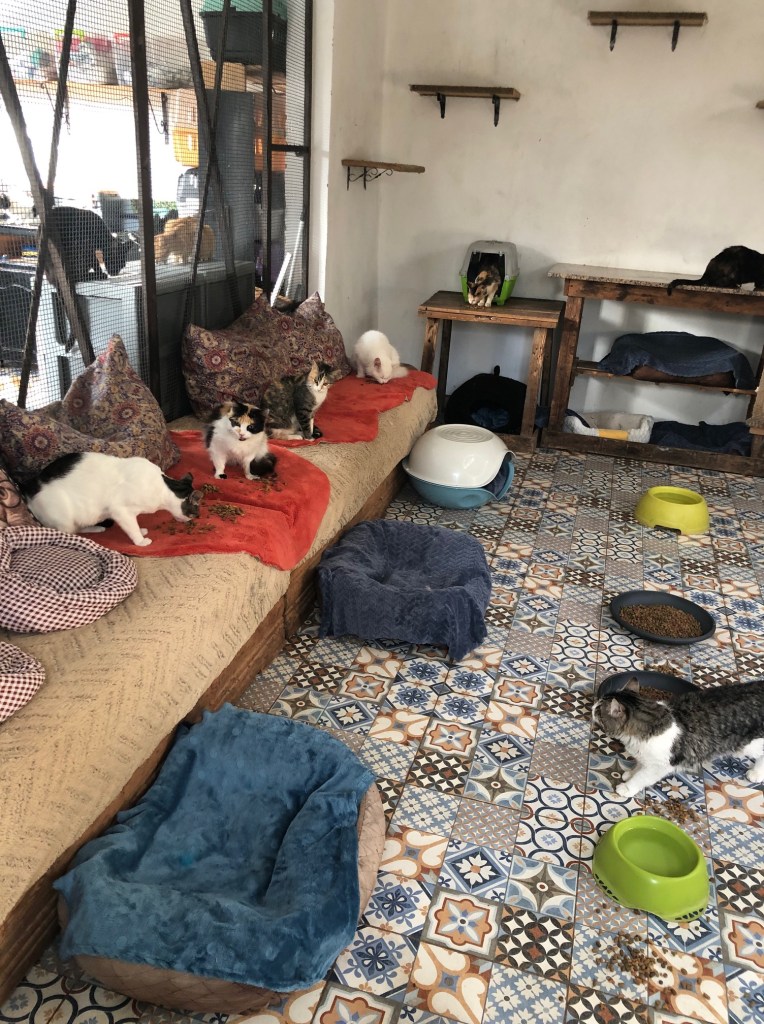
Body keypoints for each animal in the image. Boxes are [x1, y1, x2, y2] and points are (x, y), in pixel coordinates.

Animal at [23, 451, 201, 547]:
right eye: (195, 512)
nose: (194, 520)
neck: (163, 486)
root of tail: (28, 489)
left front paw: (141, 531)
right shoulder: (120, 511)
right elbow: (132, 527)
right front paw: (141, 540)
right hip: (65, 519)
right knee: (69, 533)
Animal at [592, 677, 764, 798]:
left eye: (599, 710)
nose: (593, 706)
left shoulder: (659, 766)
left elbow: (641, 777)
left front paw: (627, 788)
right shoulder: (646, 758)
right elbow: (639, 767)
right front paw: (630, 774)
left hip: (751, 745)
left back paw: (756, 774)